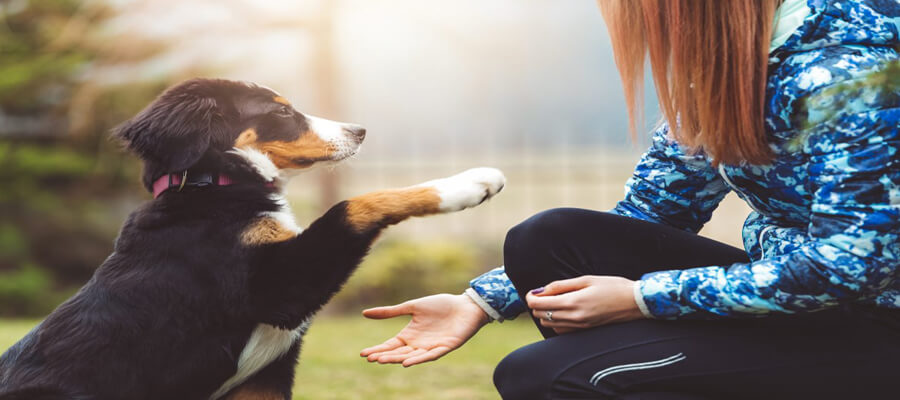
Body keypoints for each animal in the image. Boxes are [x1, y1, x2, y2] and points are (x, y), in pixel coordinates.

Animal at [0, 79, 506, 400]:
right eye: (280, 110)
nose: (359, 131)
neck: (211, 187)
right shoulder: (278, 287)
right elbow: (355, 204)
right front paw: (469, 184)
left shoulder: (265, 376)